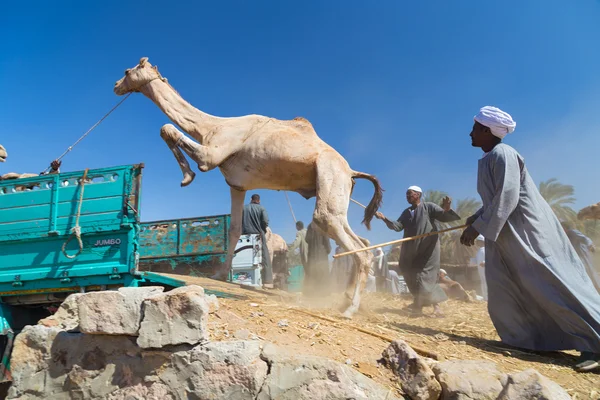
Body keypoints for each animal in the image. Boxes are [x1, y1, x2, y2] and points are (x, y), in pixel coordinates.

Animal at [114, 57, 382, 318]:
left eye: (127, 71)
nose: (116, 85)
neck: (210, 127)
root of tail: (352, 172)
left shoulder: (211, 156)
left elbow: (167, 129)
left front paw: (187, 176)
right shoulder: (236, 184)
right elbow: (233, 229)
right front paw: (219, 275)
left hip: (330, 175)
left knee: (351, 242)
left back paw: (349, 309)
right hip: (337, 191)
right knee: (356, 239)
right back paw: (345, 298)